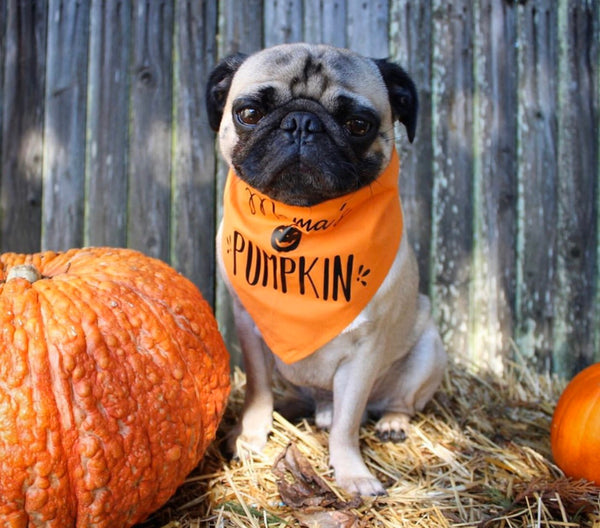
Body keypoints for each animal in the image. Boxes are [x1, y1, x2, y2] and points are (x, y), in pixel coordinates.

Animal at [206, 43, 446, 498]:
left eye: (357, 125)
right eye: (249, 113)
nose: (302, 122)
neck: (303, 224)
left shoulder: (365, 351)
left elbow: (348, 423)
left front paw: (352, 473)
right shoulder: (250, 330)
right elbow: (258, 391)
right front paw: (249, 436)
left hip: (428, 347)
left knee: (399, 403)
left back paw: (392, 423)